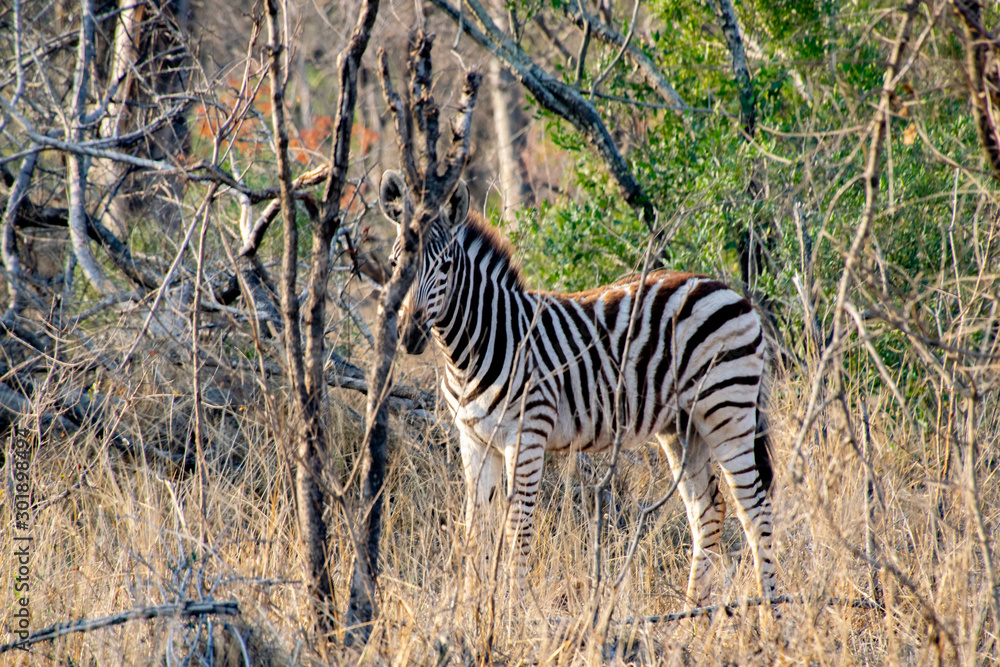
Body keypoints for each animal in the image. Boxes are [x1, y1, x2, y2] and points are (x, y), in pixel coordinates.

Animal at [379, 169, 777, 611]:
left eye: (446, 266)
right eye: (395, 264)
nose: (410, 335)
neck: (474, 347)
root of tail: (733, 292)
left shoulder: (526, 436)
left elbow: (518, 528)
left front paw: (513, 615)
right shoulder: (474, 439)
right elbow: (475, 528)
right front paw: (472, 611)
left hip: (727, 409)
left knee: (755, 509)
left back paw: (770, 610)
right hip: (682, 426)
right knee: (707, 510)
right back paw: (692, 612)